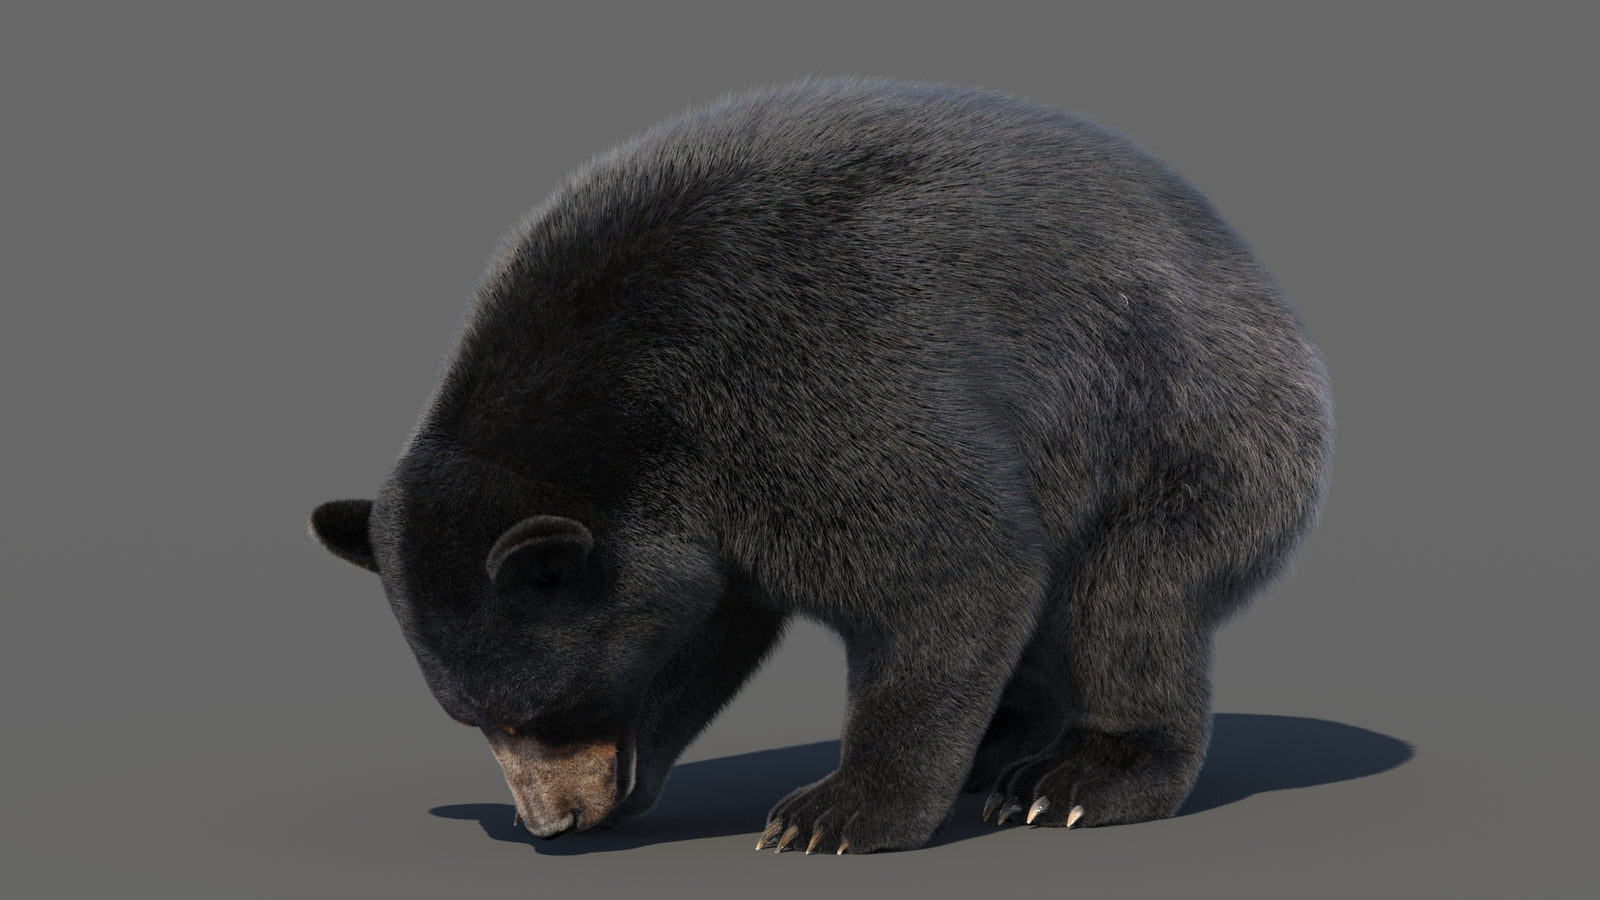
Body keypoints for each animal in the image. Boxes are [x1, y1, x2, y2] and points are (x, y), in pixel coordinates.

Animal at [309, 77, 1333, 855]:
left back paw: (1076, 779)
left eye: (543, 710)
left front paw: (836, 813)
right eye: (472, 718)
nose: (553, 823)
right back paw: (1002, 744)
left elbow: (955, 567)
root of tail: (1263, 283)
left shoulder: (812, 387)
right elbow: (706, 627)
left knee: (1130, 600)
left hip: (1186, 426)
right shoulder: (704, 514)